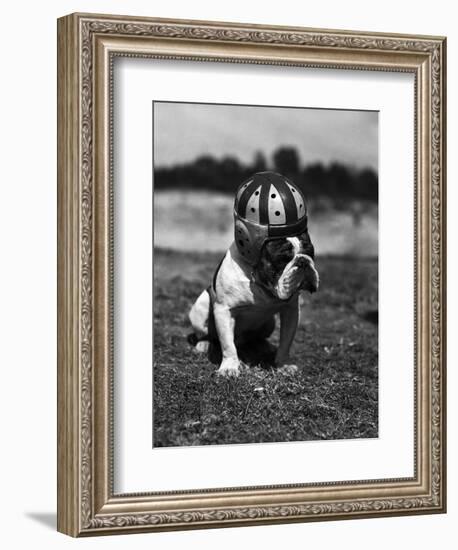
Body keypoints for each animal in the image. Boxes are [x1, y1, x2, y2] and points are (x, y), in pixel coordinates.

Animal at [187, 172, 318, 380]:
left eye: (310, 252)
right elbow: (228, 345)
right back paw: (204, 343)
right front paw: (229, 367)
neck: (258, 280)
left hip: (269, 323)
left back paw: (262, 346)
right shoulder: (224, 311)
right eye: (282, 259)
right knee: (208, 333)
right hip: (201, 306)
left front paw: (282, 364)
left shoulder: (290, 310)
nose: (303, 262)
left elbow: (286, 341)